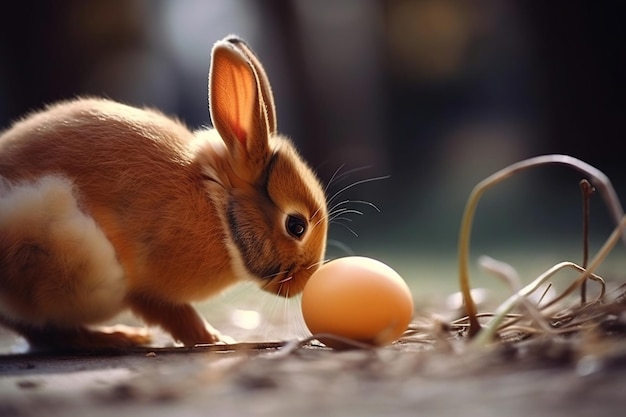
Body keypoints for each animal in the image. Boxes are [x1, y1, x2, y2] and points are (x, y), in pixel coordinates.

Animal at [0, 35, 330, 350]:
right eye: (296, 226)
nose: (305, 281)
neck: (218, 208)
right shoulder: (148, 290)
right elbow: (177, 315)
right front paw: (216, 339)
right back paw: (116, 337)